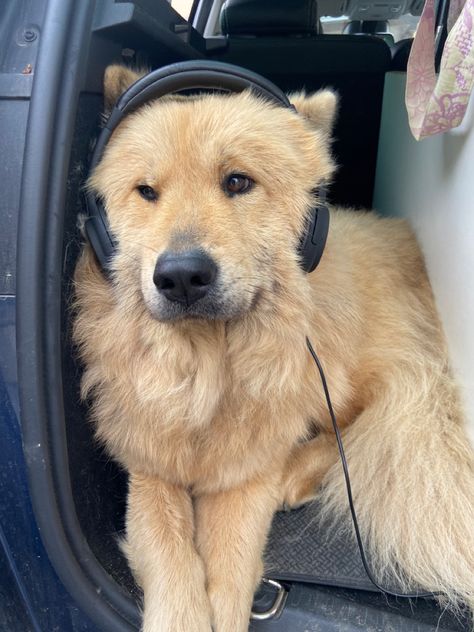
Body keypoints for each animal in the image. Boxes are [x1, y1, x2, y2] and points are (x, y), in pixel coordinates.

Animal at [74, 65, 474, 632]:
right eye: (146, 191)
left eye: (238, 182)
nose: (181, 277)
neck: (210, 364)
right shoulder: (151, 472)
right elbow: (172, 558)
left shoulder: (243, 481)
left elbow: (229, 576)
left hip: (343, 370)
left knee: (357, 422)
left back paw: (296, 470)